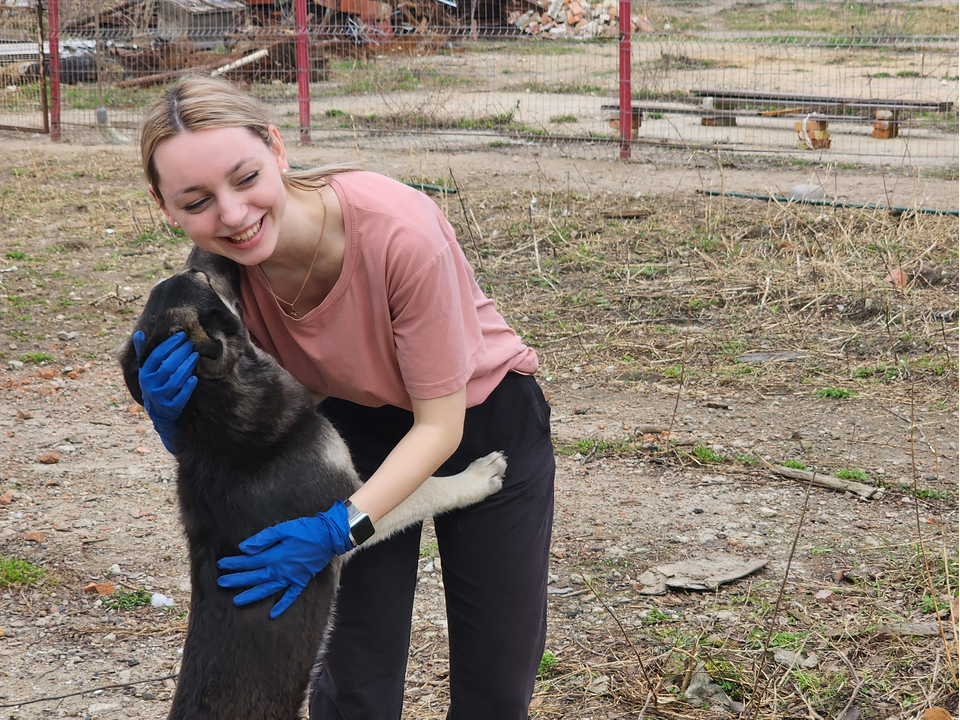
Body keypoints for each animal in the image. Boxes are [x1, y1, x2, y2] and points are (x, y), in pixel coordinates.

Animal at [117, 249, 506, 720]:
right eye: (201, 276)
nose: (204, 248)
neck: (217, 428)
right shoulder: (347, 505)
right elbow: (426, 489)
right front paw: (479, 476)